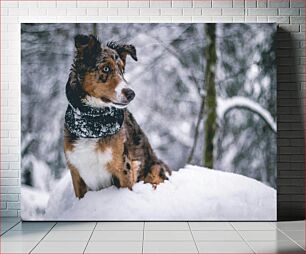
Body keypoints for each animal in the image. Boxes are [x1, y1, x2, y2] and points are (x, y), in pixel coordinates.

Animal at [64, 34, 172, 199]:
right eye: (106, 68)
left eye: (122, 70)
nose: (131, 93)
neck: (92, 122)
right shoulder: (76, 172)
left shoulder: (123, 167)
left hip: (154, 169)